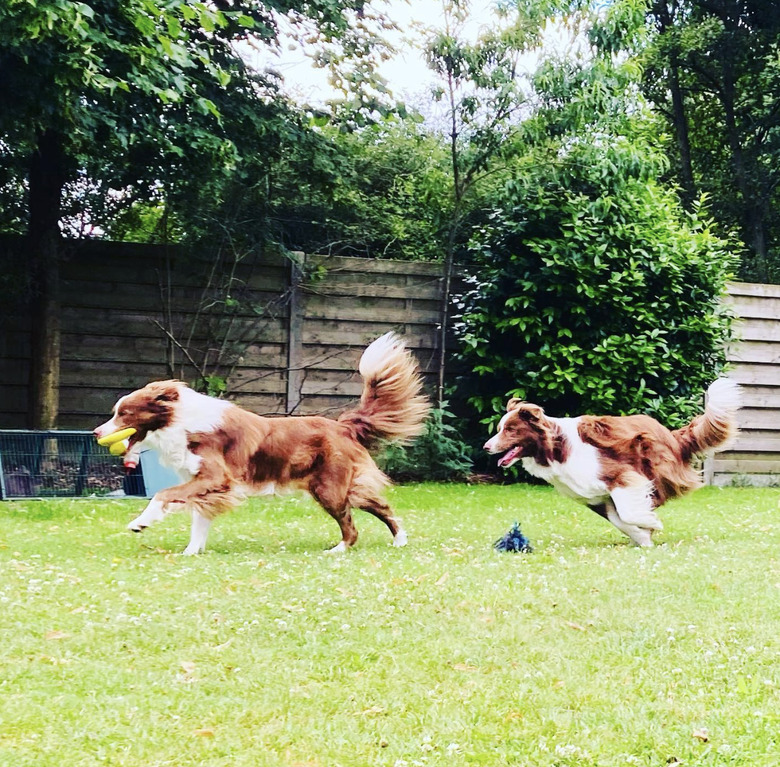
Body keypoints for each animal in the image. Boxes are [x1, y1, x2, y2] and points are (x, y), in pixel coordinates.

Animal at [95, 332, 432, 556]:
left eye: (124, 413)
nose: (97, 433)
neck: (180, 422)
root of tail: (343, 425)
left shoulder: (215, 476)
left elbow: (162, 494)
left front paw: (140, 522)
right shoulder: (205, 483)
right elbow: (198, 520)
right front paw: (191, 552)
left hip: (329, 488)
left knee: (353, 525)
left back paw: (338, 550)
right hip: (341, 487)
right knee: (380, 506)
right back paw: (399, 540)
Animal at [484, 378, 740, 544]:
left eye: (510, 430)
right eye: (499, 429)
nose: (486, 447)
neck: (555, 449)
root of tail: (670, 435)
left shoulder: (621, 475)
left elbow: (627, 513)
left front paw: (651, 525)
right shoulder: (594, 497)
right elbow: (620, 520)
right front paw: (643, 536)